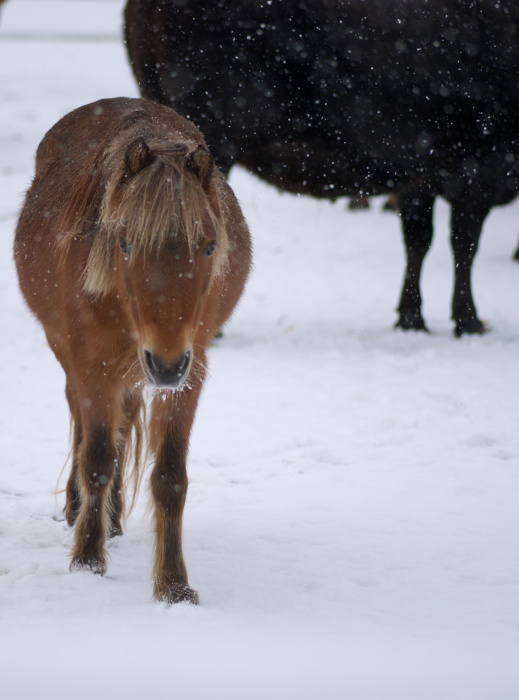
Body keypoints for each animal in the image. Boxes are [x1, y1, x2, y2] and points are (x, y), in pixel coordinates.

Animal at [13, 95, 252, 604]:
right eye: (124, 243)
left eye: (209, 247)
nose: (164, 364)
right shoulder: (93, 365)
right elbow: (97, 460)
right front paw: (87, 560)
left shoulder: (190, 373)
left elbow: (170, 477)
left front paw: (174, 585)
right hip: (74, 356)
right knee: (86, 431)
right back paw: (81, 511)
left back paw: (115, 519)